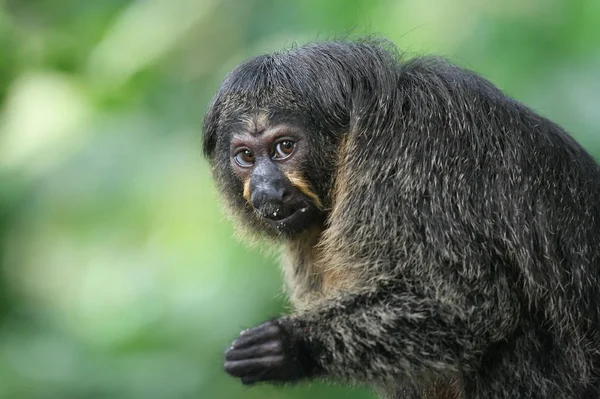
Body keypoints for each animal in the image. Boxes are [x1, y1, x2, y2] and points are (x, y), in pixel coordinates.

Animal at [200, 38, 600, 399]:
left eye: (284, 147)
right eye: (246, 157)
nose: (266, 187)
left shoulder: (413, 158)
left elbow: (470, 306)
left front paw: (289, 346)